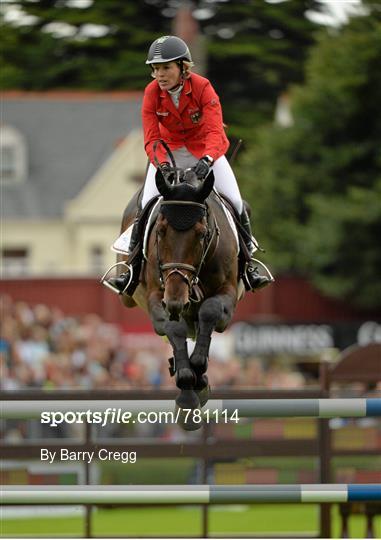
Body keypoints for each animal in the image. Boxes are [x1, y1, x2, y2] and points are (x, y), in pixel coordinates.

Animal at [108, 167, 242, 428]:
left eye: (201, 234)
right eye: (160, 231)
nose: (176, 299)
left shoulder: (228, 294)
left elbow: (210, 311)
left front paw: (198, 372)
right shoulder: (156, 296)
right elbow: (174, 328)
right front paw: (187, 393)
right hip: (129, 298)